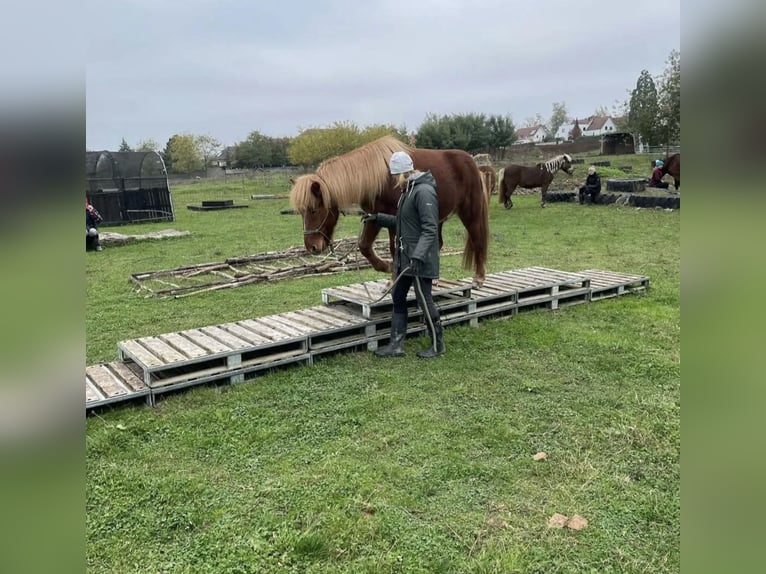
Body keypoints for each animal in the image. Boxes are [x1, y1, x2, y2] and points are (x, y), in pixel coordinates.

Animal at [289, 136, 490, 285]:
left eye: (314, 210)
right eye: (301, 212)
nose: (312, 247)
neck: (379, 178)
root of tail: (472, 162)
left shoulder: (394, 218)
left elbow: (394, 249)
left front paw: (393, 278)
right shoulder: (375, 217)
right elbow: (364, 246)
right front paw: (386, 267)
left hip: (470, 212)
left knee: (477, 238)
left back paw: (479, 278)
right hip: (436, 217)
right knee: (437, 244)